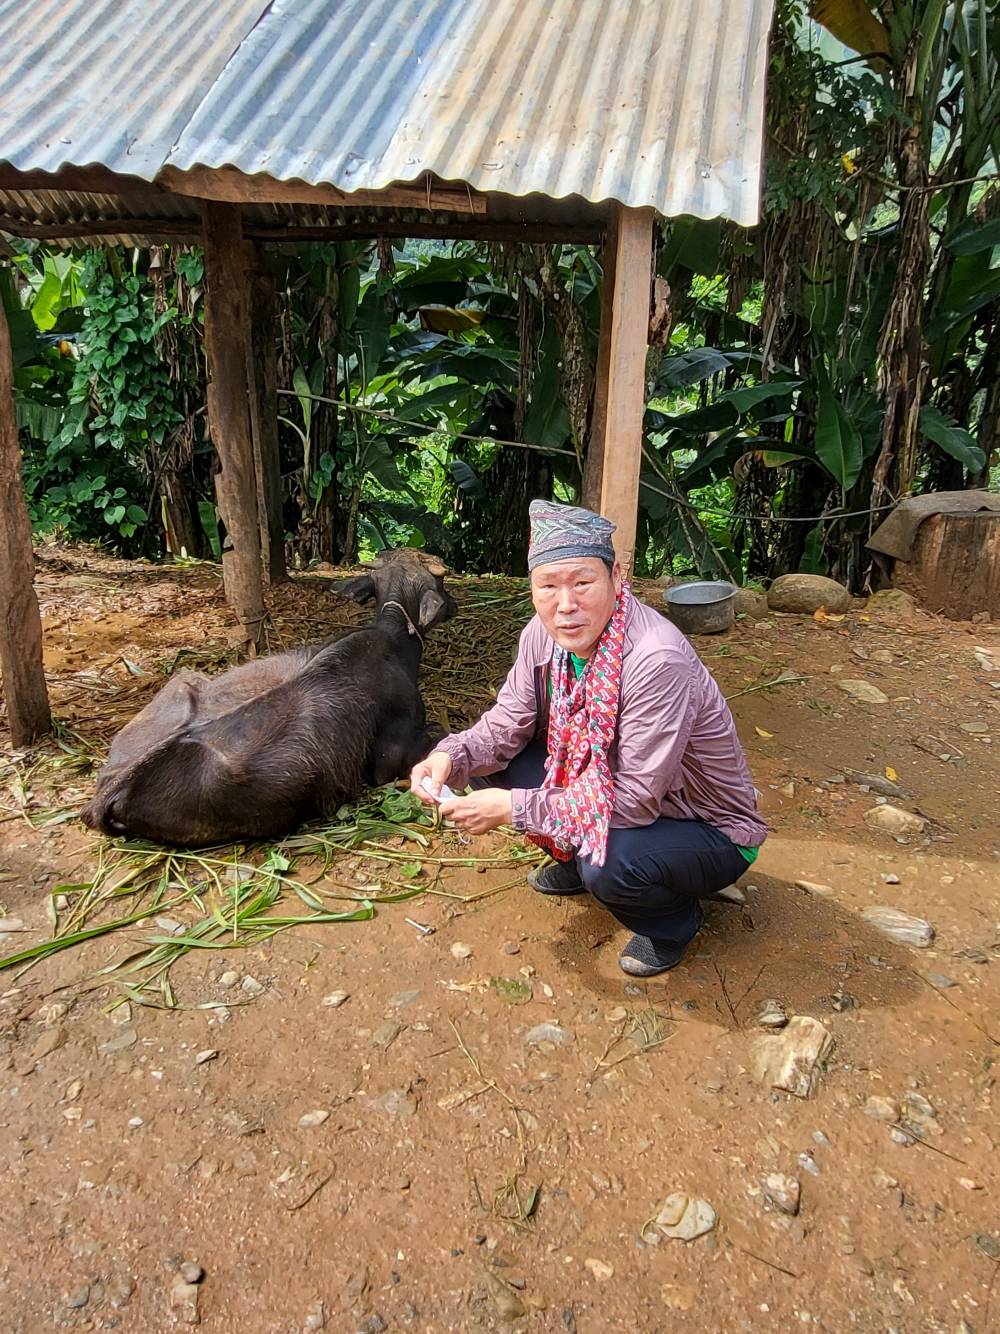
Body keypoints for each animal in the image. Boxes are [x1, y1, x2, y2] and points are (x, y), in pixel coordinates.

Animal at [81, 548, 456, 845]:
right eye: (441, 586)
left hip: (184, 680)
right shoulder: (390, 759)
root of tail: (112, 787)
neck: (393, 640)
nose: (452, 605)